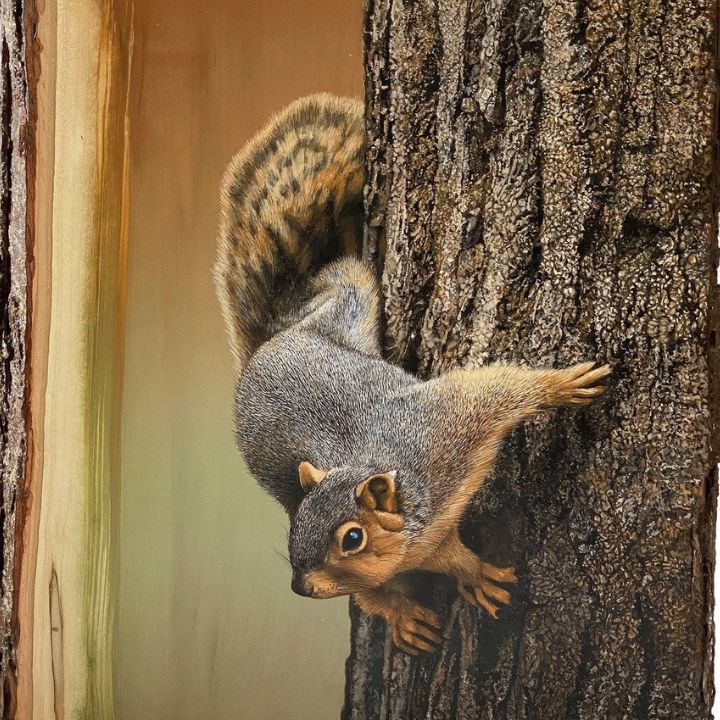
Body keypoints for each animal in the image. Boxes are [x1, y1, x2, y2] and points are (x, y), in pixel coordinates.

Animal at [214, 93, 610, 655]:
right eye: (297, 530)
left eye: (352, 537)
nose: (300, 587)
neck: (414, 498)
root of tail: (274, 340)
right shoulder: (417, 535)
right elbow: (427, 566)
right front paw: (460, 583)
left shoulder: (447, 426)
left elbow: (495, 390)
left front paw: (560, 385)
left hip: (348, 298)